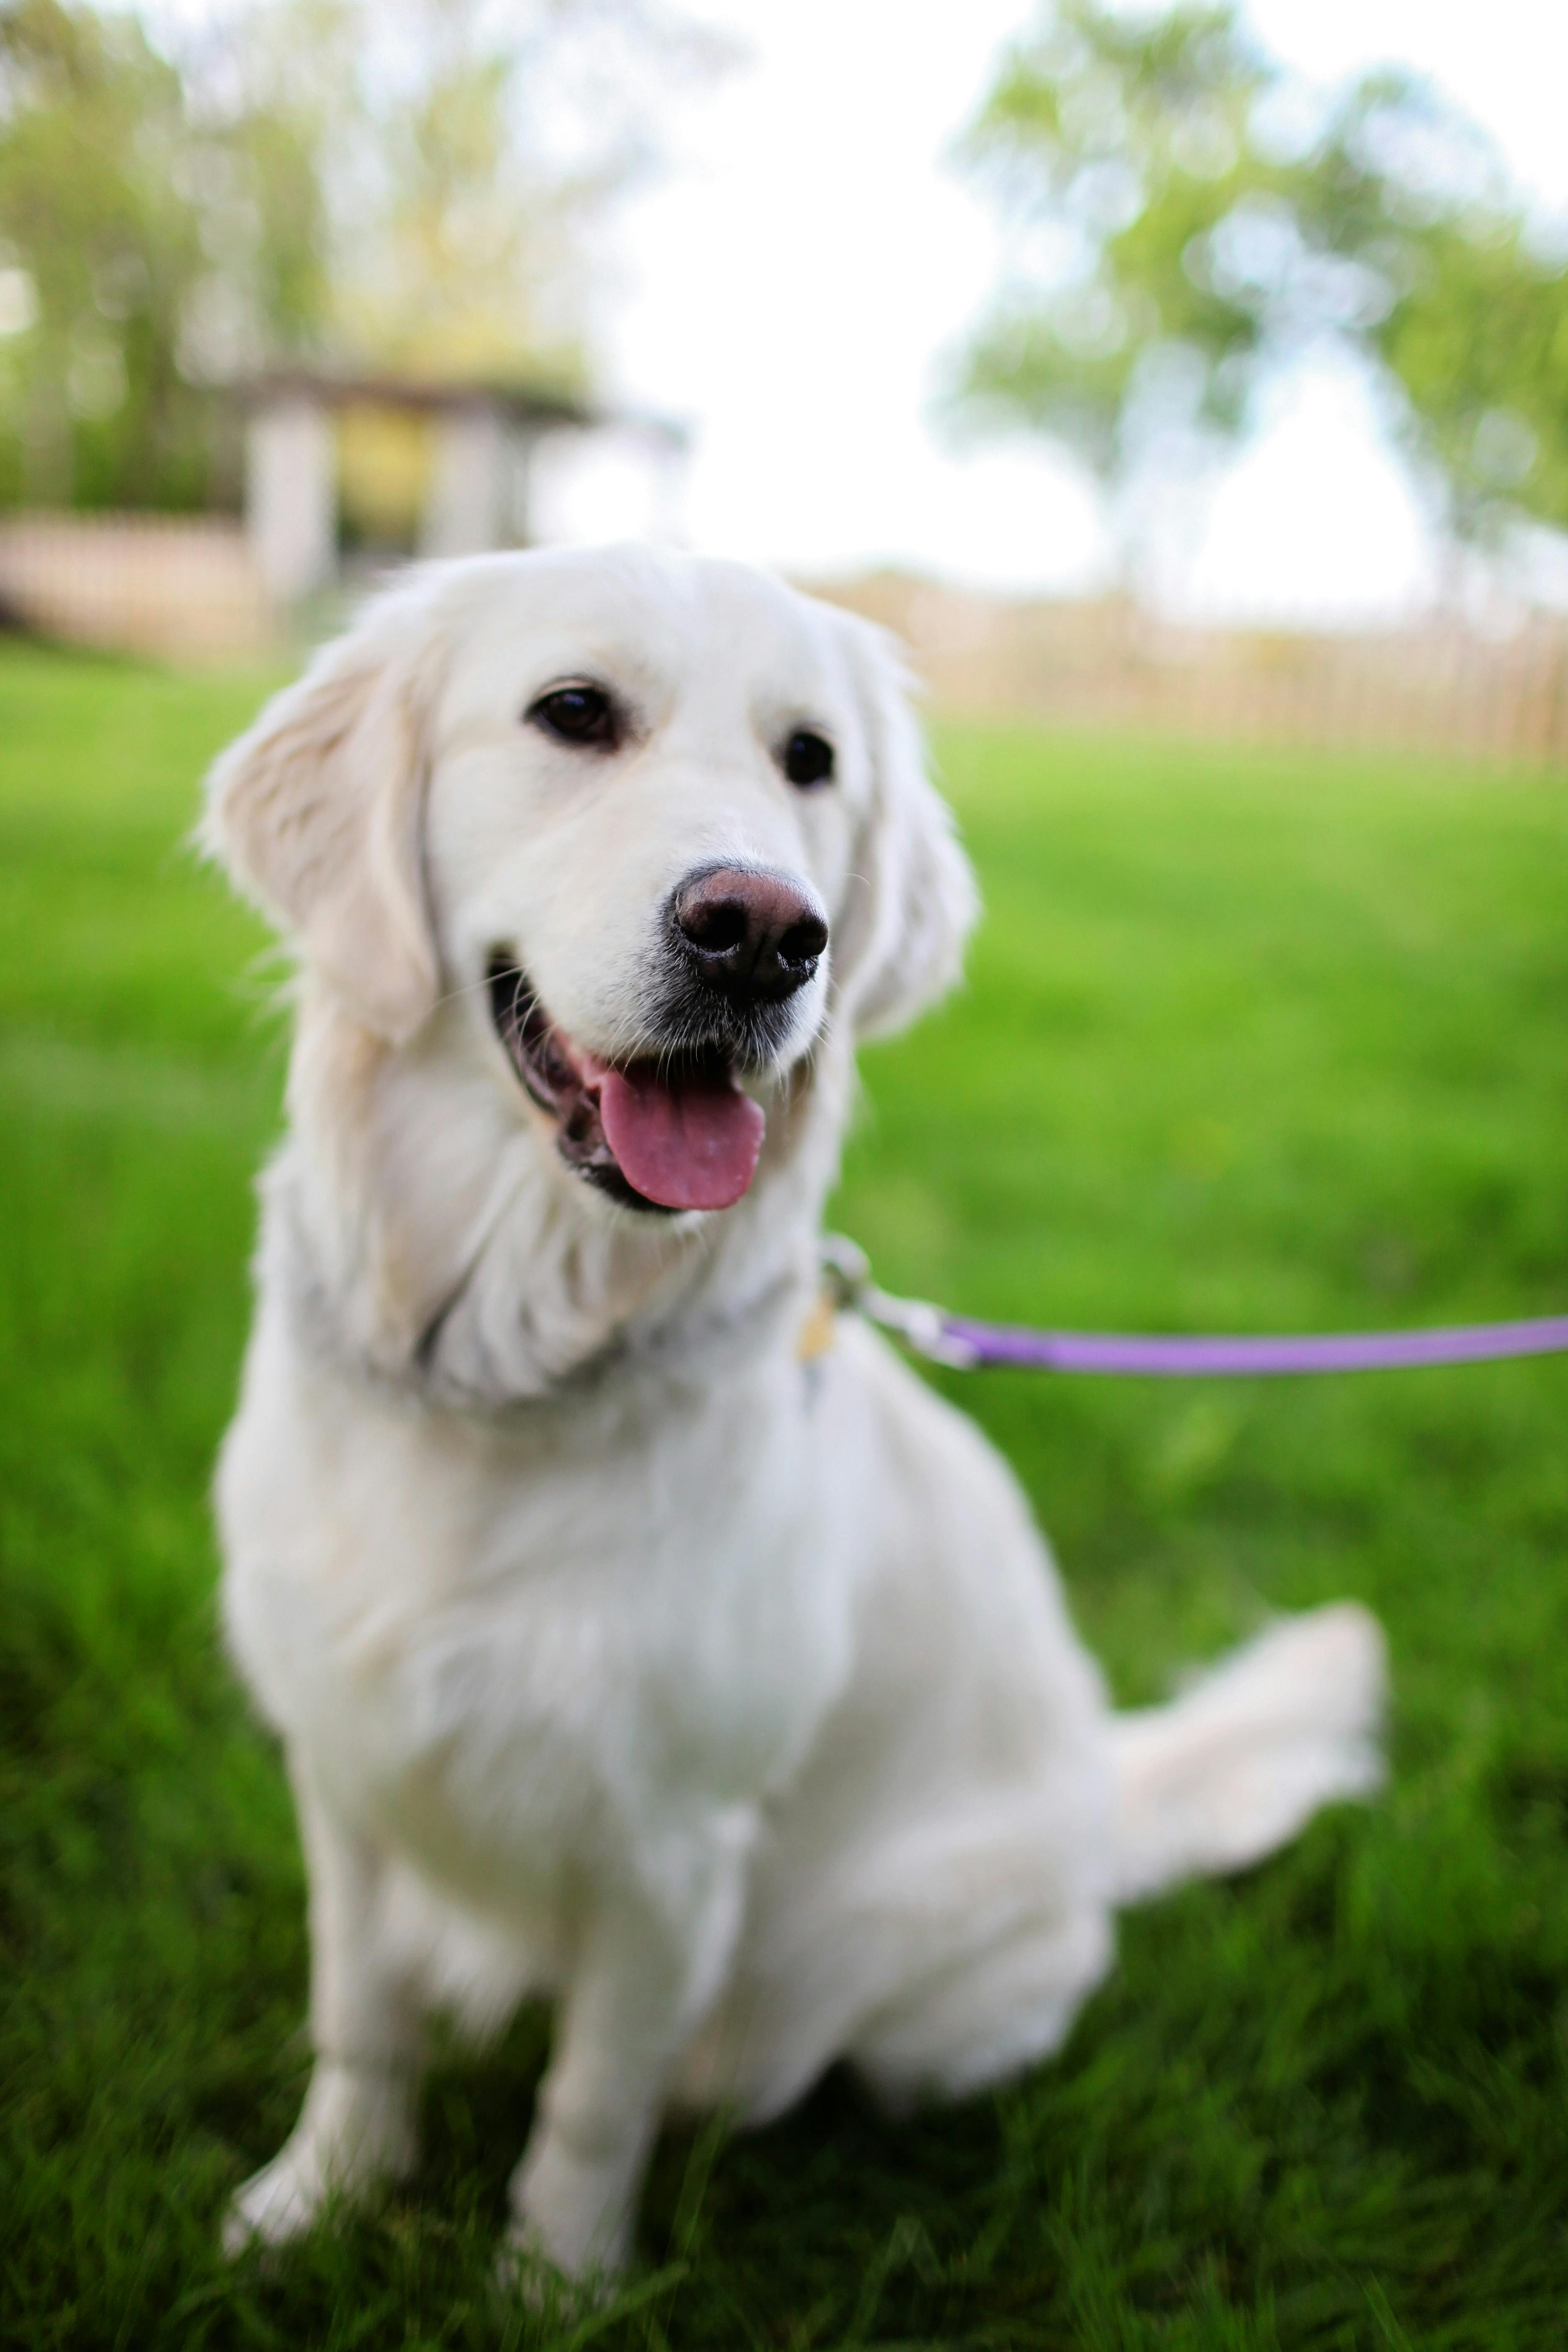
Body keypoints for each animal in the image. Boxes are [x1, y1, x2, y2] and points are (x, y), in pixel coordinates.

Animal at [206, 545, 1382, 2277]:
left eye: (810, 760)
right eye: (573, 712)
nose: (763, 932)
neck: (504, 1368)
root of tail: (1097, 1793)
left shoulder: (672, 1847)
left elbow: (592, 2098)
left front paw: (551, 2280)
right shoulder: (341, 1765)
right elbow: (359, 2016)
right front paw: (318, 2201)